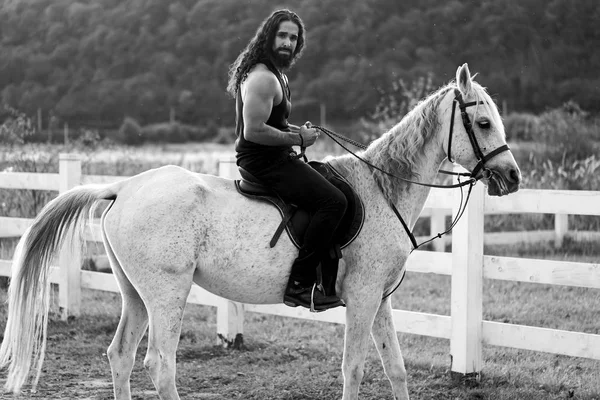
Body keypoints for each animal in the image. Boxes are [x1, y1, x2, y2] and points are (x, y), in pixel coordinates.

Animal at [0, 64, 520, 398]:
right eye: (482, 121)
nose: (513, 177)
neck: (380, 190)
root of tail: (124, 186)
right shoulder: (364, 297)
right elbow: (354, 369)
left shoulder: (380, 298)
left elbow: (396, 370)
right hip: (167, 293)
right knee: (160, 365)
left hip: (135, 294)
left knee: (121, 356)